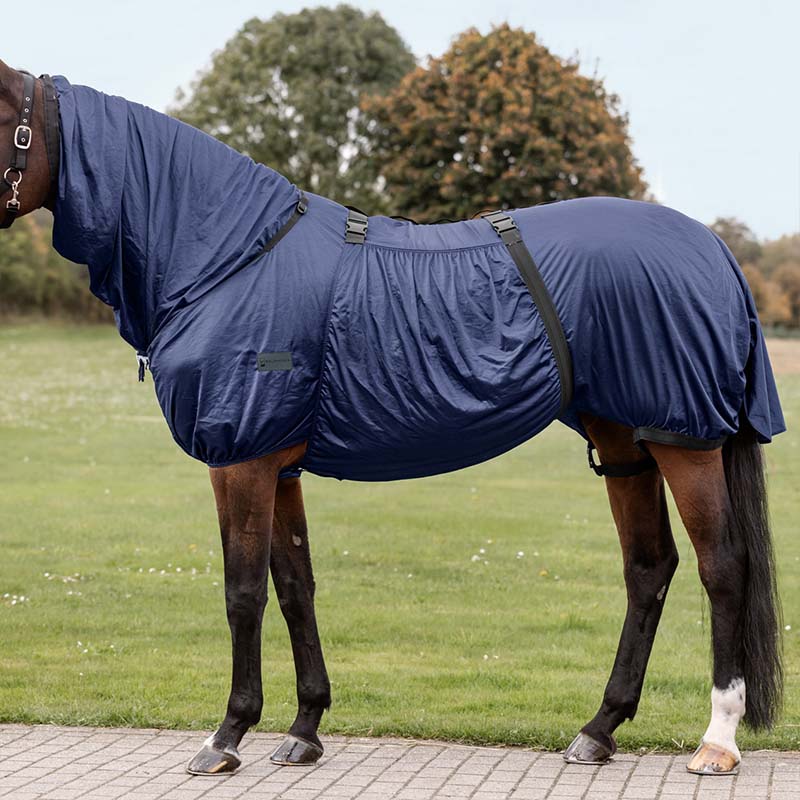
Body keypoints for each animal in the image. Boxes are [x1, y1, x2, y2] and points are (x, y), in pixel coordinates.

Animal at [0, 61, 785, 778]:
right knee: (649, 567)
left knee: (722, 567)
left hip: (686, 442)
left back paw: (716, 740)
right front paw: (305, 728)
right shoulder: (279, 465)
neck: (230, 256)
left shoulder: (240, 459)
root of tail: (713, 247)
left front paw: (226, 736)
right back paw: (598, 729)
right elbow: (295, 587)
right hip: (624, 441)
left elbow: (243, 592)